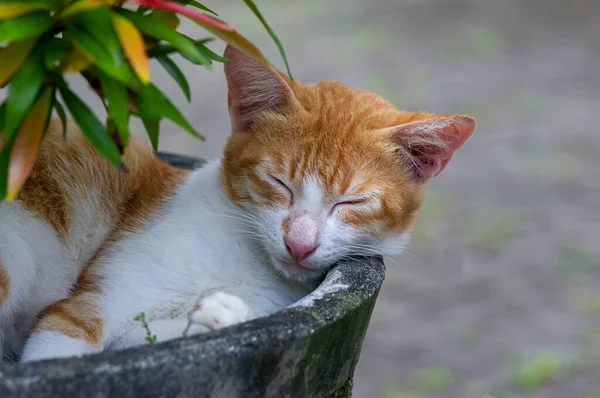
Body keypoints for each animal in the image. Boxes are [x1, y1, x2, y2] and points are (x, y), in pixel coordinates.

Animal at [0, 45, 478, 362]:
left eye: (351, 201)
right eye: (278, 182)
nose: (299, 244)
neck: (246, 259)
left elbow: (152, 337)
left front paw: (216, 315)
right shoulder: (91, 306)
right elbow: (60, 351)